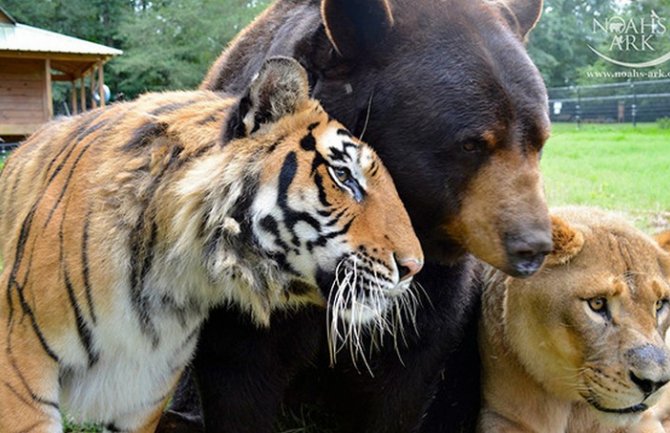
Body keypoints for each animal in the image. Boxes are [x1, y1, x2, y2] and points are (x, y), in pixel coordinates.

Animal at [480, 207, 670, 432]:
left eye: (659, 304)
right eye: (597, 303)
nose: (656, 383)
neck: (572, 408)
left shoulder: (644, 420)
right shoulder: (498, 416)